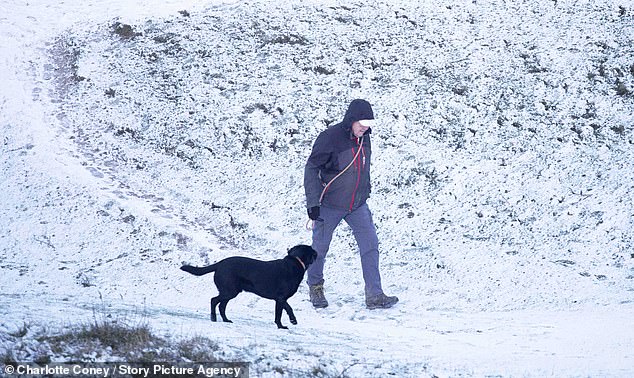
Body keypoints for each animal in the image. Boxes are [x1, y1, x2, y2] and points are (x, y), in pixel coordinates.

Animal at [179, 245, 314, 328]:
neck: (296, 262)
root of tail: (220, 264)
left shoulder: (279, 300)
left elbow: (280, 313)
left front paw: (283, 324)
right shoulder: (281, 298)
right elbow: (285, 310)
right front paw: (288, 323)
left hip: (230, 292)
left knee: (221, 306)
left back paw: (226, 320)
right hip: (229, 291)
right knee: (214, 300)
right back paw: (213, 318)